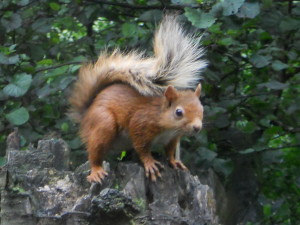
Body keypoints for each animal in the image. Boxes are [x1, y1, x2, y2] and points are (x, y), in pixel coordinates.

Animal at [69, 14, 207, 184]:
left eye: (202, 110)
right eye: (178, 112)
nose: (197, 127)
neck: (168, 127)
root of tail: (86, 114)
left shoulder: (173, 138)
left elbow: (169, 151)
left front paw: (175, 162)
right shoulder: (141, 124)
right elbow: (142, 147)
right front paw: (150, 163)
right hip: (103, 123)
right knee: (95, 151)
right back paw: (96, 171)